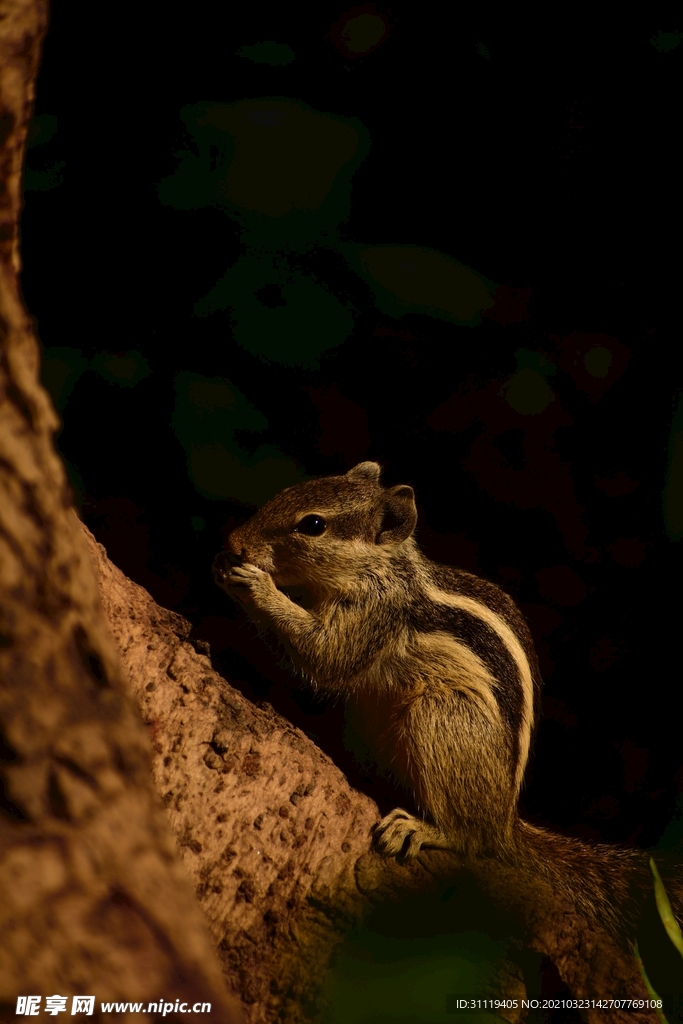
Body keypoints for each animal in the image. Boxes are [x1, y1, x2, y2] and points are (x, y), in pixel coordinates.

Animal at [215, 460, 671, 937]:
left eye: (313, 525)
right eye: (292, 489)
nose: (234, 542)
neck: (382, 570)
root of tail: (505, 823)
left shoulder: (375, 615)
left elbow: (328, 657)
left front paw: (254, 585)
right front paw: (224, 567)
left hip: (443, 714)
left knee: (472, 839)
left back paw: (427, 830)